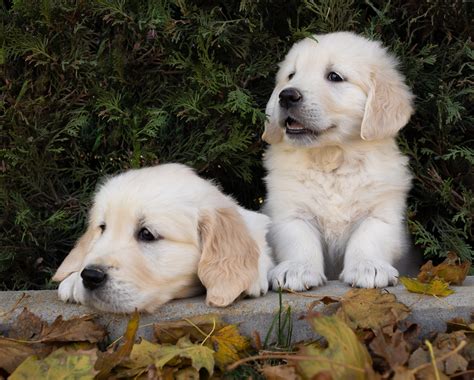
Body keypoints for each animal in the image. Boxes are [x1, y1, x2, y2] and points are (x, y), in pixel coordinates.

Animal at [262, 31, 414, 290]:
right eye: (291, 75)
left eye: (334, 76)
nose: (287, 95)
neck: (331, 157)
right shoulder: (289, 210)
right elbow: (299, 237)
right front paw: (297, 269)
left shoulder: (382, 211)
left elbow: (368, 236)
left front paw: (368, 267)